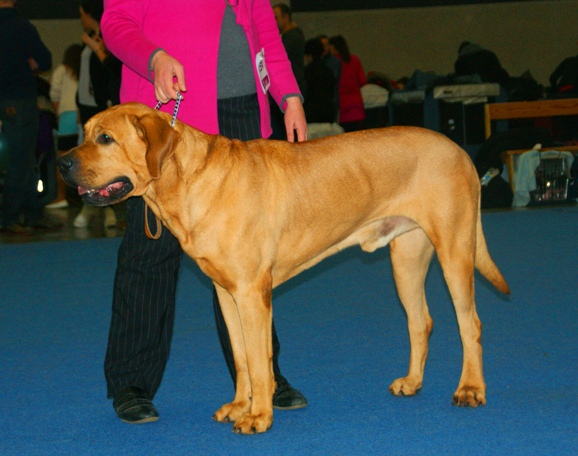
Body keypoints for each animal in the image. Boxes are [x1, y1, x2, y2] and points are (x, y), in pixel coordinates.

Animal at [57, 102, 508, 434]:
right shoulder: (226, 294)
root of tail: (459, 149)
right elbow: (241, 357)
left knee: (471, 323)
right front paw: (239, 406)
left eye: (106, 138)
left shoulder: (252, 292)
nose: (61, 164)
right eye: (85, 134)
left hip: (454, 248)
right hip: (406, 257)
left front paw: (258, 416)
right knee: (421, 321)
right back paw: (412, 382)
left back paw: (470, 389)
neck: (187, 182)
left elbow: (259, 362)